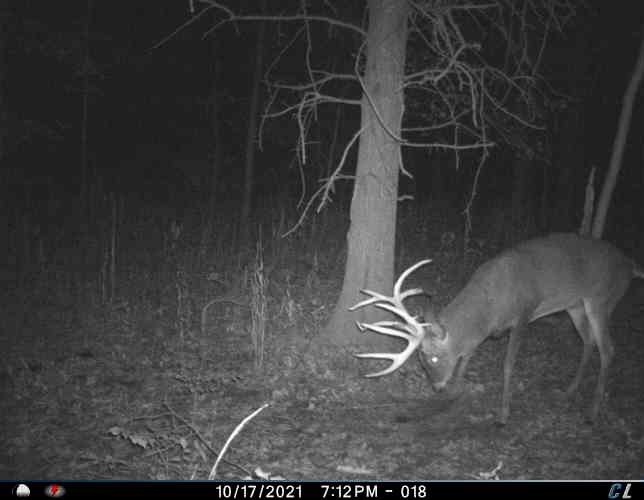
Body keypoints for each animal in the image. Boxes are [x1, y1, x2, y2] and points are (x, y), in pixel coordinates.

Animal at [350, 233, 644, 424]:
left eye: (432, 357)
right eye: (421, 360)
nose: (436, 387)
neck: (491, 305)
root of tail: (630, 264)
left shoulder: (525, 313)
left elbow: (508, 364)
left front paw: (503, 414)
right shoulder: (484, 333)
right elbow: (467, 356)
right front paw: (454, 392)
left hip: (601, 299)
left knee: (609, 348)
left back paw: (593, 411)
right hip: (576, 305)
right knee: (588, 341)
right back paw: (570, 390)